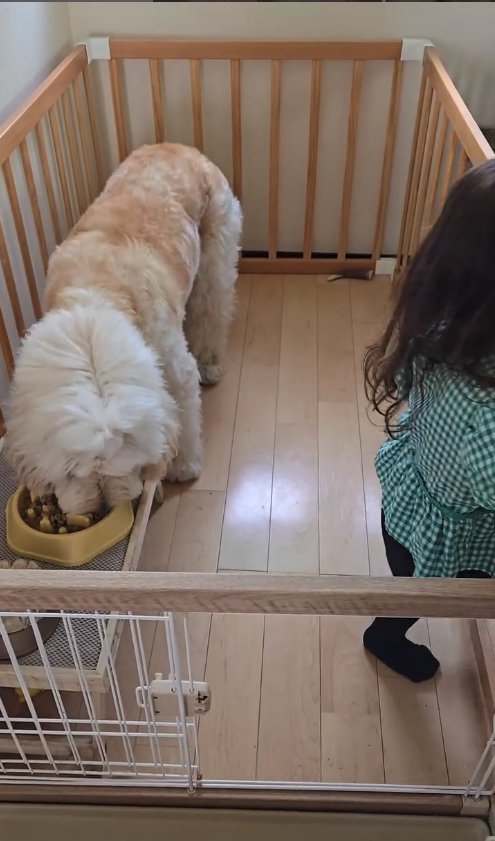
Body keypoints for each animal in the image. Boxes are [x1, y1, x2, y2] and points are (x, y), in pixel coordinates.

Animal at [3, 143, 243, 512]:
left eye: (123, 460)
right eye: (70, 471)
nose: (101, 506)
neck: (94, 298)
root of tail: (179, 147)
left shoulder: (174, 369)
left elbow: (184, 415)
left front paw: (184, 466)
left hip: (217, 246)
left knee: (212, 308)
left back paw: (211, 362)